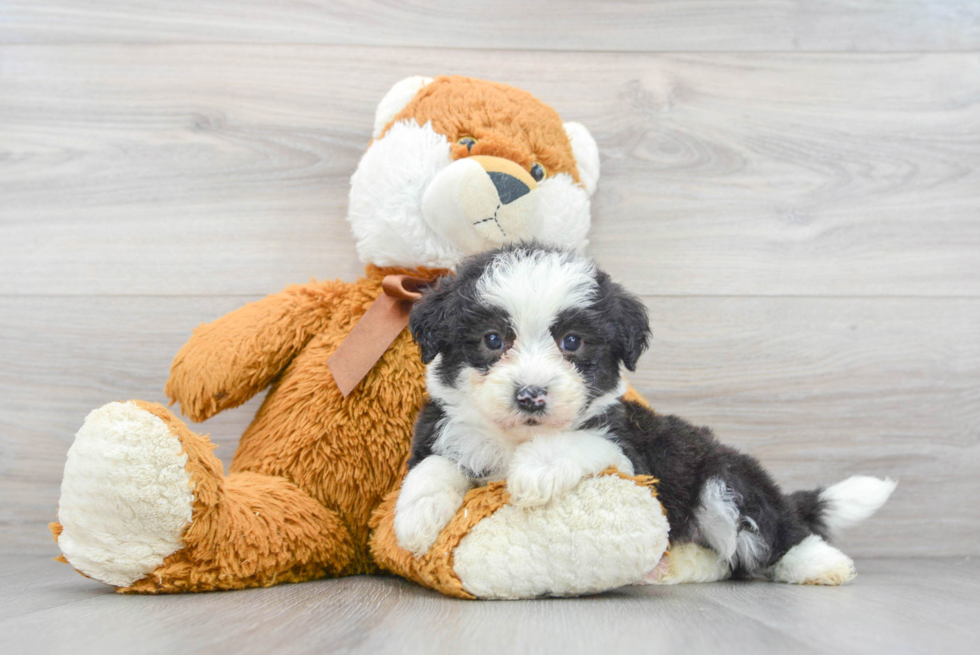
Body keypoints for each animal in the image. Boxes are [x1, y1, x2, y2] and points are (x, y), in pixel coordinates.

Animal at [396, 245, 896, 584]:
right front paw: (415, 519)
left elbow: (579, 440)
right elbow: (434, 465)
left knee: (774, 530)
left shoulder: (631, 455)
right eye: (493, 340)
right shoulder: (442, 430)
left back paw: (820, 563)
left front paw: (537, 469)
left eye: (572, 342)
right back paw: (677, 566)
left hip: (723, 482)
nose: (531, 395)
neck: (515, 438)